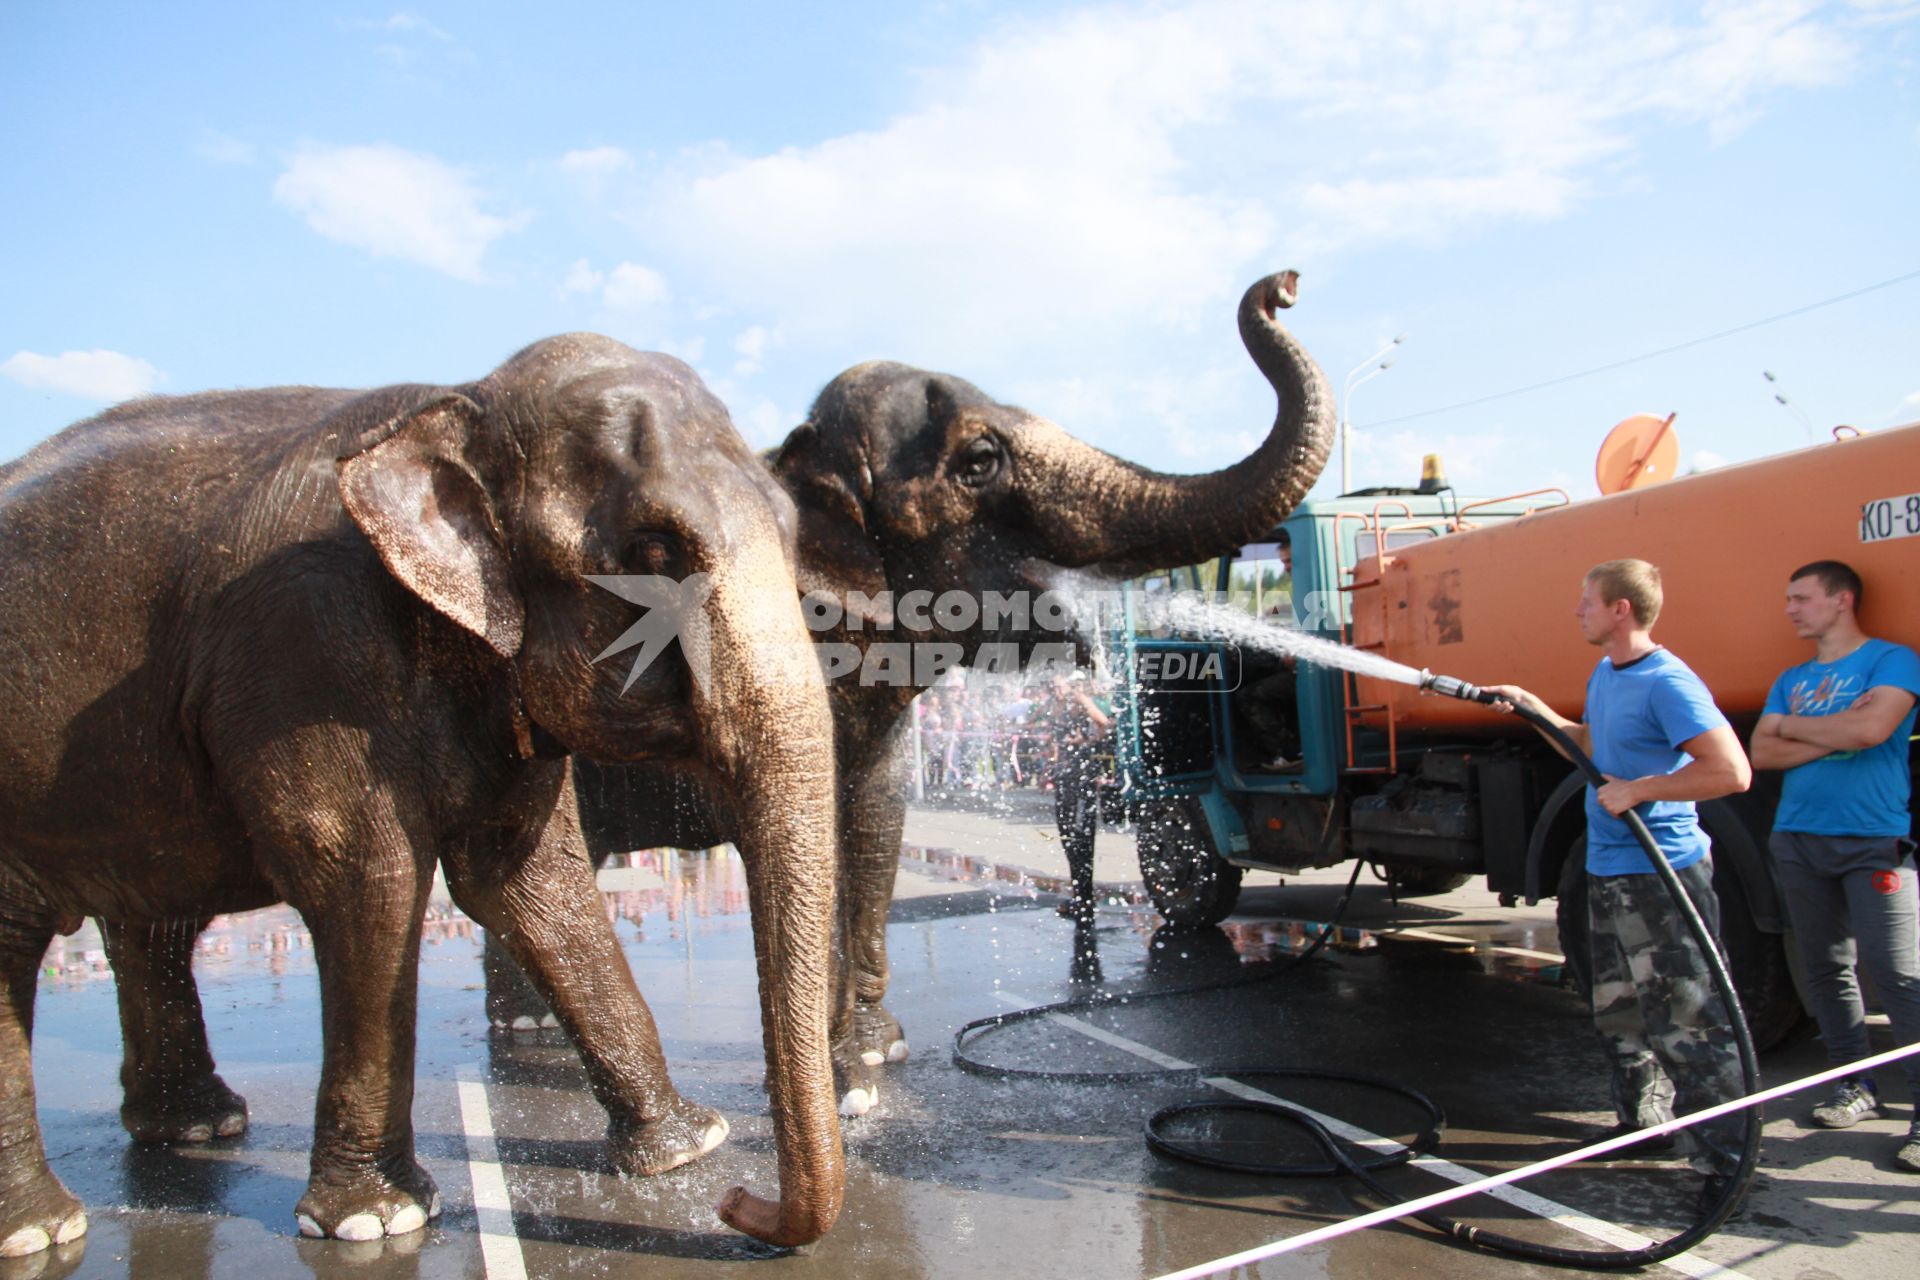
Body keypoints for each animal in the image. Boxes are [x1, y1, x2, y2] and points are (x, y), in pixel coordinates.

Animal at [0, 335, 840, 1258]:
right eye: (654, 553)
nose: (739, 1206)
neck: (460, 399)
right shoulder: (304, 652)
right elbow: (369, 881)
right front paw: (375, 1219)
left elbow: (530, 882)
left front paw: (687, 1148)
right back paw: (43, 1229)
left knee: (151, 923)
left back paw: (195, 1129)